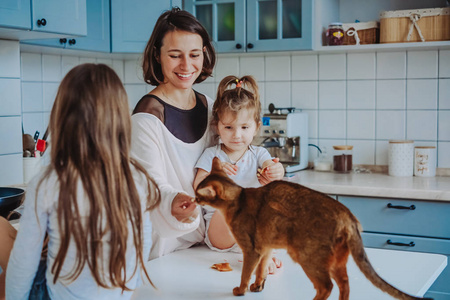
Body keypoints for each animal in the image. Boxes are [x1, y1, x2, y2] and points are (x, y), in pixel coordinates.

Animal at [194, 157, 432, 300]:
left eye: (198, 194)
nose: (193, 199)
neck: (239, 199)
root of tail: (347, 216)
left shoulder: (251, 249)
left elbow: (246, 273)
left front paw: (241, 290)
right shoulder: (266, 247)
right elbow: (261, 270)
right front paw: (258, 286)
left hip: (307, 256)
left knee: (326, 286)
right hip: (336, 259)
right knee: (344, 283)